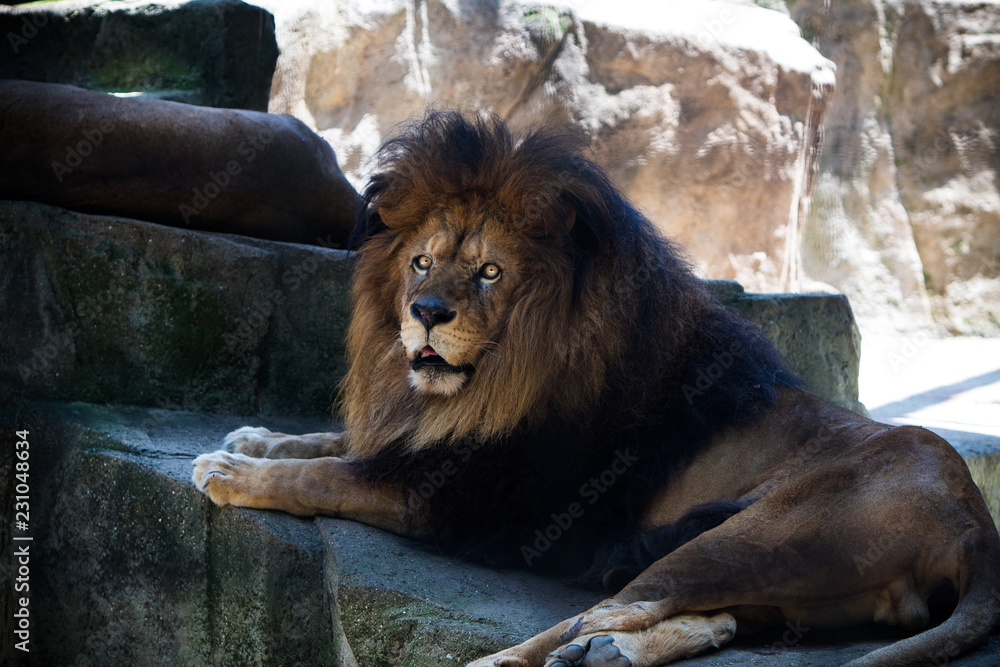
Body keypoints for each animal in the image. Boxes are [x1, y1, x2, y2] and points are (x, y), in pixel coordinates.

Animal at [193, 111, 1000, 666]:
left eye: (490, 273)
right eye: (421, 261)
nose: (426, 313)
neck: (495, 382)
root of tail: (976, 522)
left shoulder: (460, 495)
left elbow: (332, 473)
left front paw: (233, 469)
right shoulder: (433, 440)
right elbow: (340, 441)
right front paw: (255, 435)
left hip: (751, 538)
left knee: (602, 610)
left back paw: (531, 656)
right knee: (704, 616)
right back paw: (607, 652)